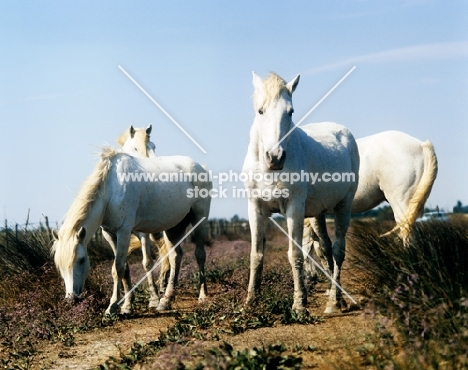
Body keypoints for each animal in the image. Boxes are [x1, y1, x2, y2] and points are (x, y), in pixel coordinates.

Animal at [52, 146, 211, 314]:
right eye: (59, 264)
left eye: (82, 259)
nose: (71, 298)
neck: (111, 191)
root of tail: (201, 168)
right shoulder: (110, 234)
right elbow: (125, 268)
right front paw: (127, 306)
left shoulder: (124, 231)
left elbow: (118, 268)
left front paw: (112, 307)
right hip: (173, 227)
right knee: (175, 256)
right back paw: (166, 300)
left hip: (199, 219)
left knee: (199, 254)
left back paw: (202, 296)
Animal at [243, 73, 360, 316]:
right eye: (260, 111)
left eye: (291, 111)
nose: (275, 157)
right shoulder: (255, 207)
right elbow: (256, 255)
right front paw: (250, 302)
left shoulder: (294, 208)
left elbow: (295, 254)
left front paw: (299, 305)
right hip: (317, 214)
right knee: (325, 249)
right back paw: (337, 297)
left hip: (343, 206)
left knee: (338, 250)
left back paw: (334, 302)